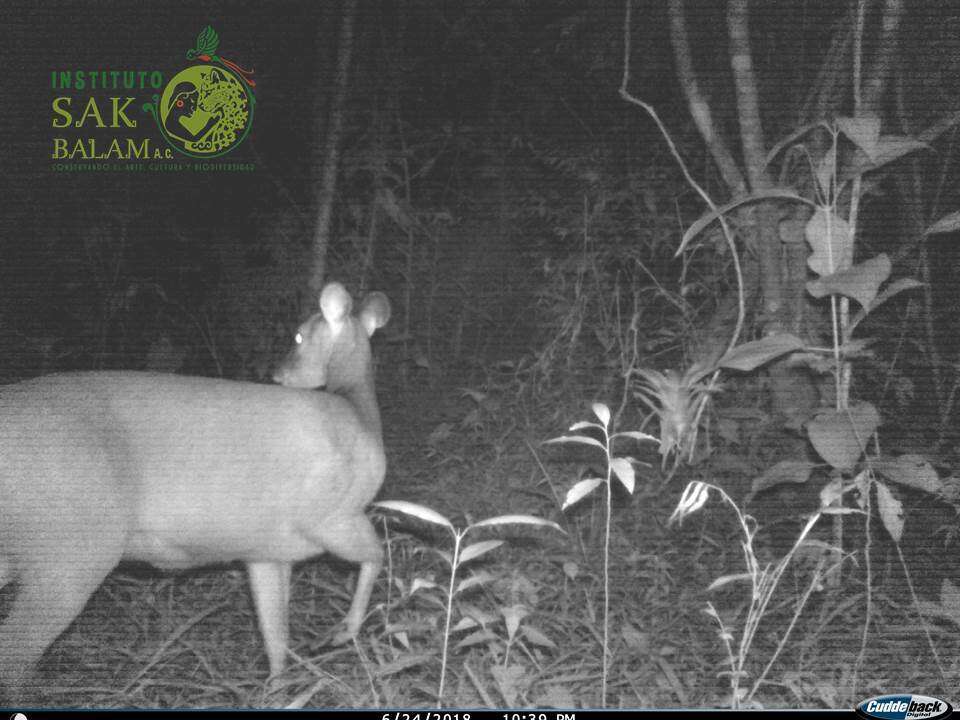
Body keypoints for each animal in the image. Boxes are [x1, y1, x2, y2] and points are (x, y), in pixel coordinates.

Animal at [0, 282, 392, 704]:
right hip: (73, 543)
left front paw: (278, 692)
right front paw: (342, 632)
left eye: (300, 335)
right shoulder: (330, 514)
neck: (360, 415)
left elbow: (276, 635)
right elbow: (376, 556)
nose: (277, 374)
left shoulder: (270, 548)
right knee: (15, 652)